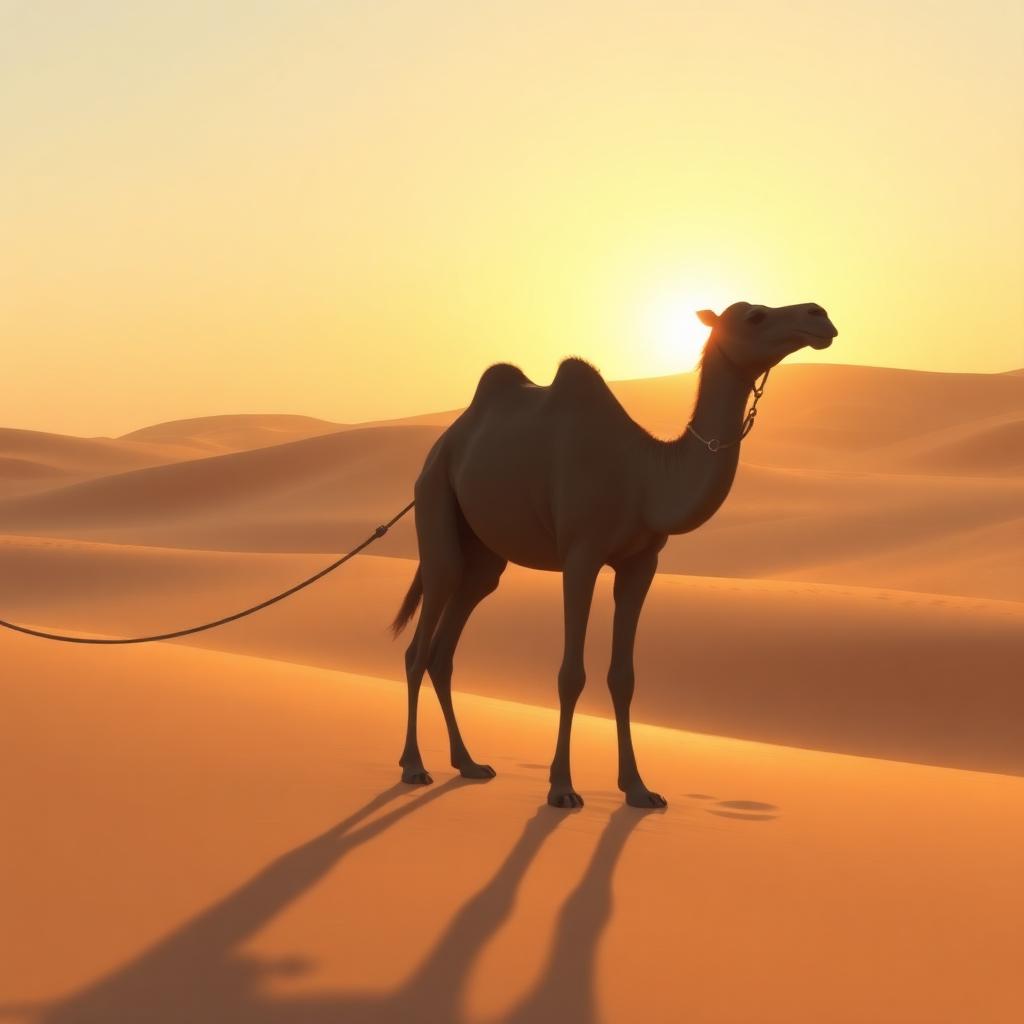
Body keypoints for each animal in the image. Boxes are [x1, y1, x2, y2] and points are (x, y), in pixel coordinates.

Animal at [392, 300, 838, 809]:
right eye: (755, 316)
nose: (819, 314)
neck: (644, 476)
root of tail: (442, 444)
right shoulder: (581, 555)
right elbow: (571, 674)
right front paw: (562, 787)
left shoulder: (641, 562)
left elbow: (623, 677)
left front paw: (639, 788)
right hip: (435, 498)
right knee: (422, 634)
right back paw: (413, 765)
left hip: (484, 555)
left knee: (447, 644)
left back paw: (468, 762)